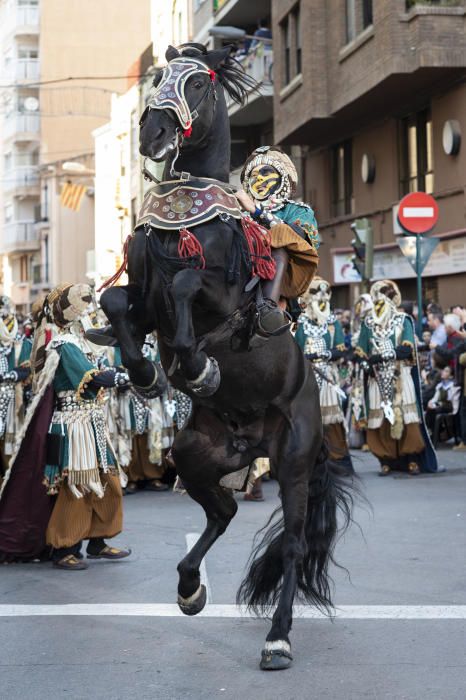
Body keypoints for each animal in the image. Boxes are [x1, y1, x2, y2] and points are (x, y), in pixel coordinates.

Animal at [97, 45, 354, 672]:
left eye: (200, 85)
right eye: (160, 81)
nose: (153, 132)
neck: (188, 219)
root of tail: (252, 441)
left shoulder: (217, 292)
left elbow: (189, 283)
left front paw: (196, 366)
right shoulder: (145, 301)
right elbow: (117, 303)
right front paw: (146, 373)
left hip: (293, 458)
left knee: (293, 544)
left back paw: (278, 639)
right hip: (195, 454)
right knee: (222, 513)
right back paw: (190, 588)